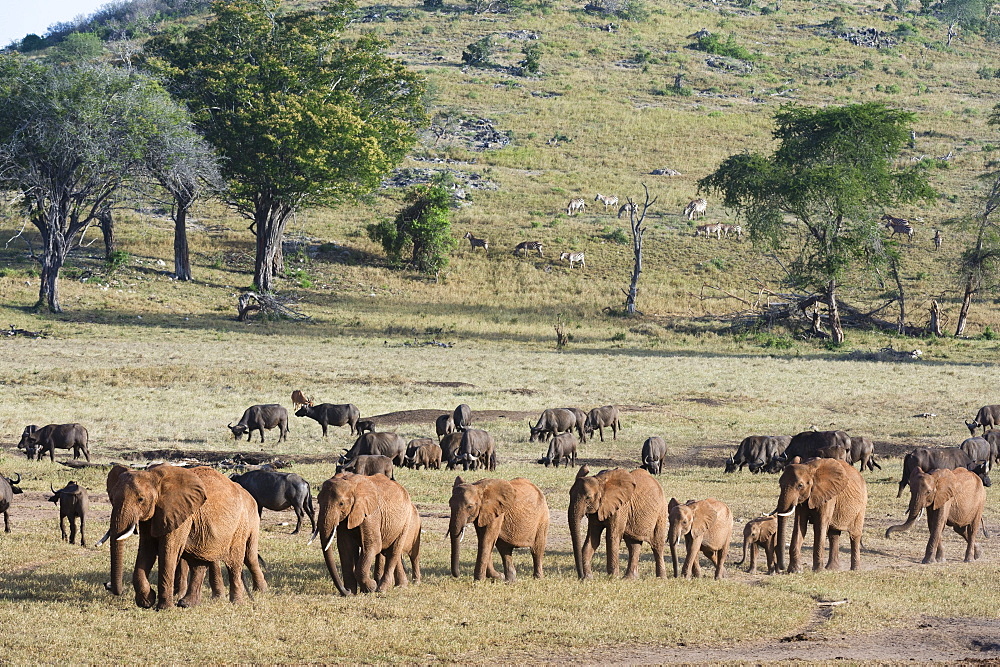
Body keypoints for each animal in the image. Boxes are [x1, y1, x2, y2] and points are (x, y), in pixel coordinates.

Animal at [99, 464, 268, 612]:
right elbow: (147, 550)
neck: (154, 476)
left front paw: (163, 608)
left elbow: (168, 552)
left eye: (141, 499)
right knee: (200, 563)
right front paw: (147, 601)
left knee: (238, 561)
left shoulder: (179, 513)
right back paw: (187, 604)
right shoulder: (154, 515)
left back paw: (238, 602)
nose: (109, 586)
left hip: (241, 524)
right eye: (111, 498)